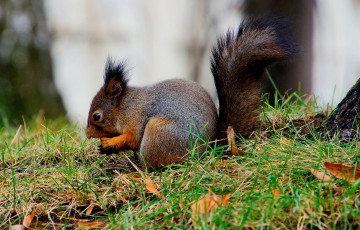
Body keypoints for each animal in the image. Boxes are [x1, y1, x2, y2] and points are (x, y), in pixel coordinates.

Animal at [86, 17, 296, 171]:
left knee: (153, 167)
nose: (87, 134)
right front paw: (105, 147)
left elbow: (132, 138)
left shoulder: (136, 118)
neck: (125, 105)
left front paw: (111, 142)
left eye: (97, 116)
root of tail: (207, 148)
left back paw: (137, 173)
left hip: (159, 134)